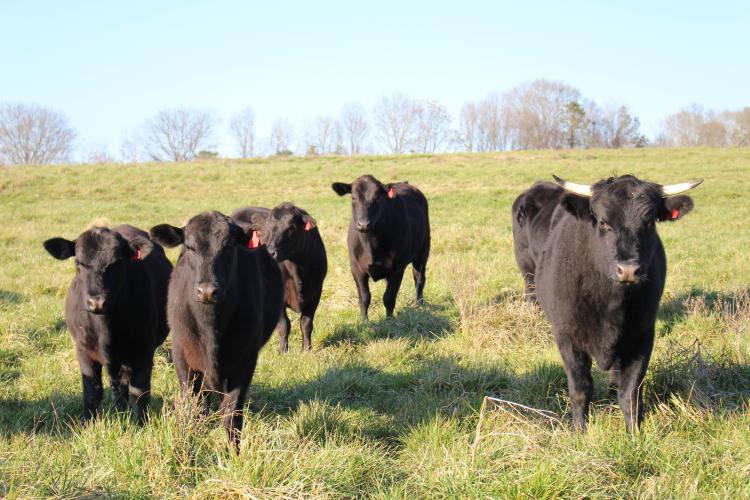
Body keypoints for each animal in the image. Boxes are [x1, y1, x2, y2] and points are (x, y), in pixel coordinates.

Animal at [43, 224, 172, 424]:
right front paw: (88, 423)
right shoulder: (84, 350)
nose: (96, 302)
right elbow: (92, 391)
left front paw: (141, 424)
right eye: (78, 263)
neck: (106, 331)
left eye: (116, 263)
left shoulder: (144, 350)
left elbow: (140, 391)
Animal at [149, 211, 283, 448]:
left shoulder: (245, 360)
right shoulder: (182, 356)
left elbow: (232, 416)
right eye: (190, 247)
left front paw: (234, 452)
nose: (207, 291)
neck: (210, 328)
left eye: (229, 246)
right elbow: (194, 406)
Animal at [231, 203, 328, 352]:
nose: (270, 252)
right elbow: (284, 325)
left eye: (291, 227)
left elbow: (306, 323)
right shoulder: (279, 297)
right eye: (266, 229)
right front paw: (283, 351)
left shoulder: (316, 292)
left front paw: (307, 349)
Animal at [332, 174, 430, 321]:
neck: (371, 246)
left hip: (423, 251)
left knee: (419, 278)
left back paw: (419, 304)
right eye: (353, 197)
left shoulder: (397, 268)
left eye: (377, 197)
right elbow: (364, 297)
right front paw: (364, 321)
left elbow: (389, 297)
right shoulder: (356, 268)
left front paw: (389, 319)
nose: (363, 224)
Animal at [511, 174, 702, 432]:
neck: (611, 304)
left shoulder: (642, 334)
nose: (628, 269)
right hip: (527, 270)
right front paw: (579, 431)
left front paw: (635, 433)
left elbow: (630, 391)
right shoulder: (567, 336)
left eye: (650, 222)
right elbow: (581, 388)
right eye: (603, 222)